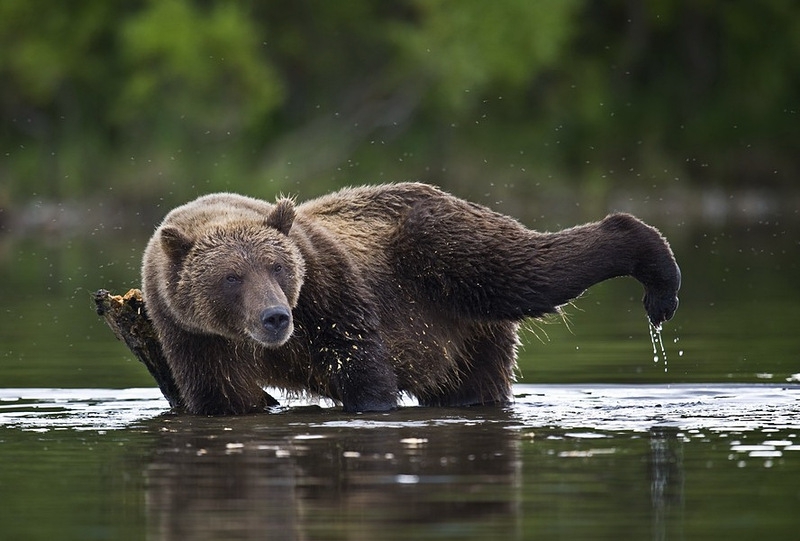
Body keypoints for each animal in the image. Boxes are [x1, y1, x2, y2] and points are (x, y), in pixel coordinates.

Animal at [141, 181, 680, 414]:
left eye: (278, 266)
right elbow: (224, 396)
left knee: (532, 271)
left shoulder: (327, 290)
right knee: (475, 376)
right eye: (232, 277)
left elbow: (359, 359)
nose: (275, 317)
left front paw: (373, 403)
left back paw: (656, 276)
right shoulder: (192, 336)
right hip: (466, 334)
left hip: (447, 255)